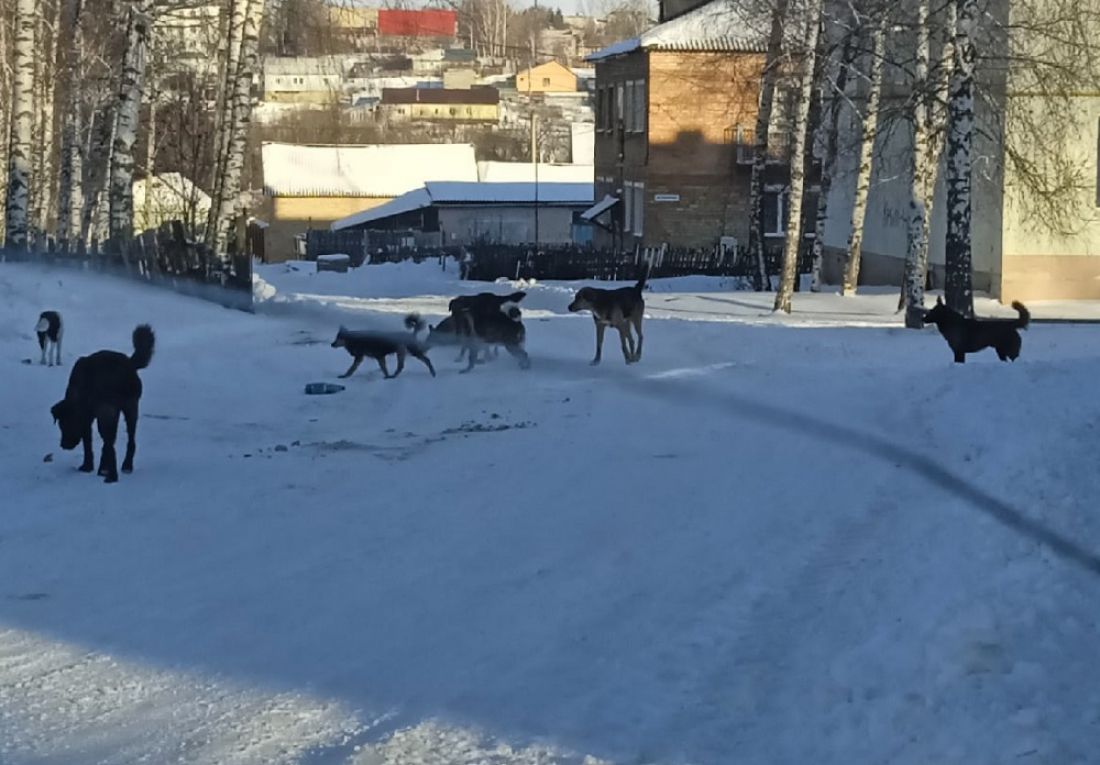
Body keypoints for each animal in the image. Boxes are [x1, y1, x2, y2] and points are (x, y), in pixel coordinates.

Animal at [50, 324, 155, 483]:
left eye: (64, 425)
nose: (63, 445)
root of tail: (129, 363)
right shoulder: (88, 419)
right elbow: (88, 443)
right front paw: (88, 466)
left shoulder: (93, 416)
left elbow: (94, 443)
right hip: (116, 411)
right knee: (110, 442)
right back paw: (106, 469)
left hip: (128, 408)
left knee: (126, 441)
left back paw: (120, 470)